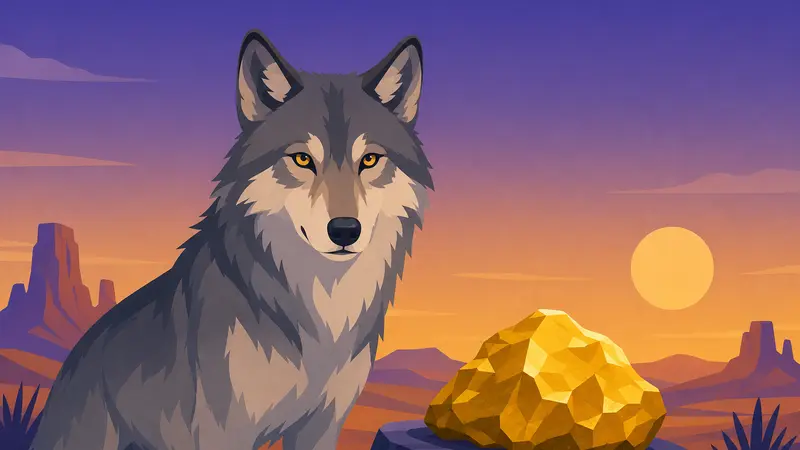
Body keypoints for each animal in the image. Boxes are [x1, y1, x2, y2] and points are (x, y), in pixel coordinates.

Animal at [30, 29, 432, 450]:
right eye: (302, 159)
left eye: (369, 160)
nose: (344, 230)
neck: (322, 304)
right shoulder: (224, 428)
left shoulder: (323, 423)